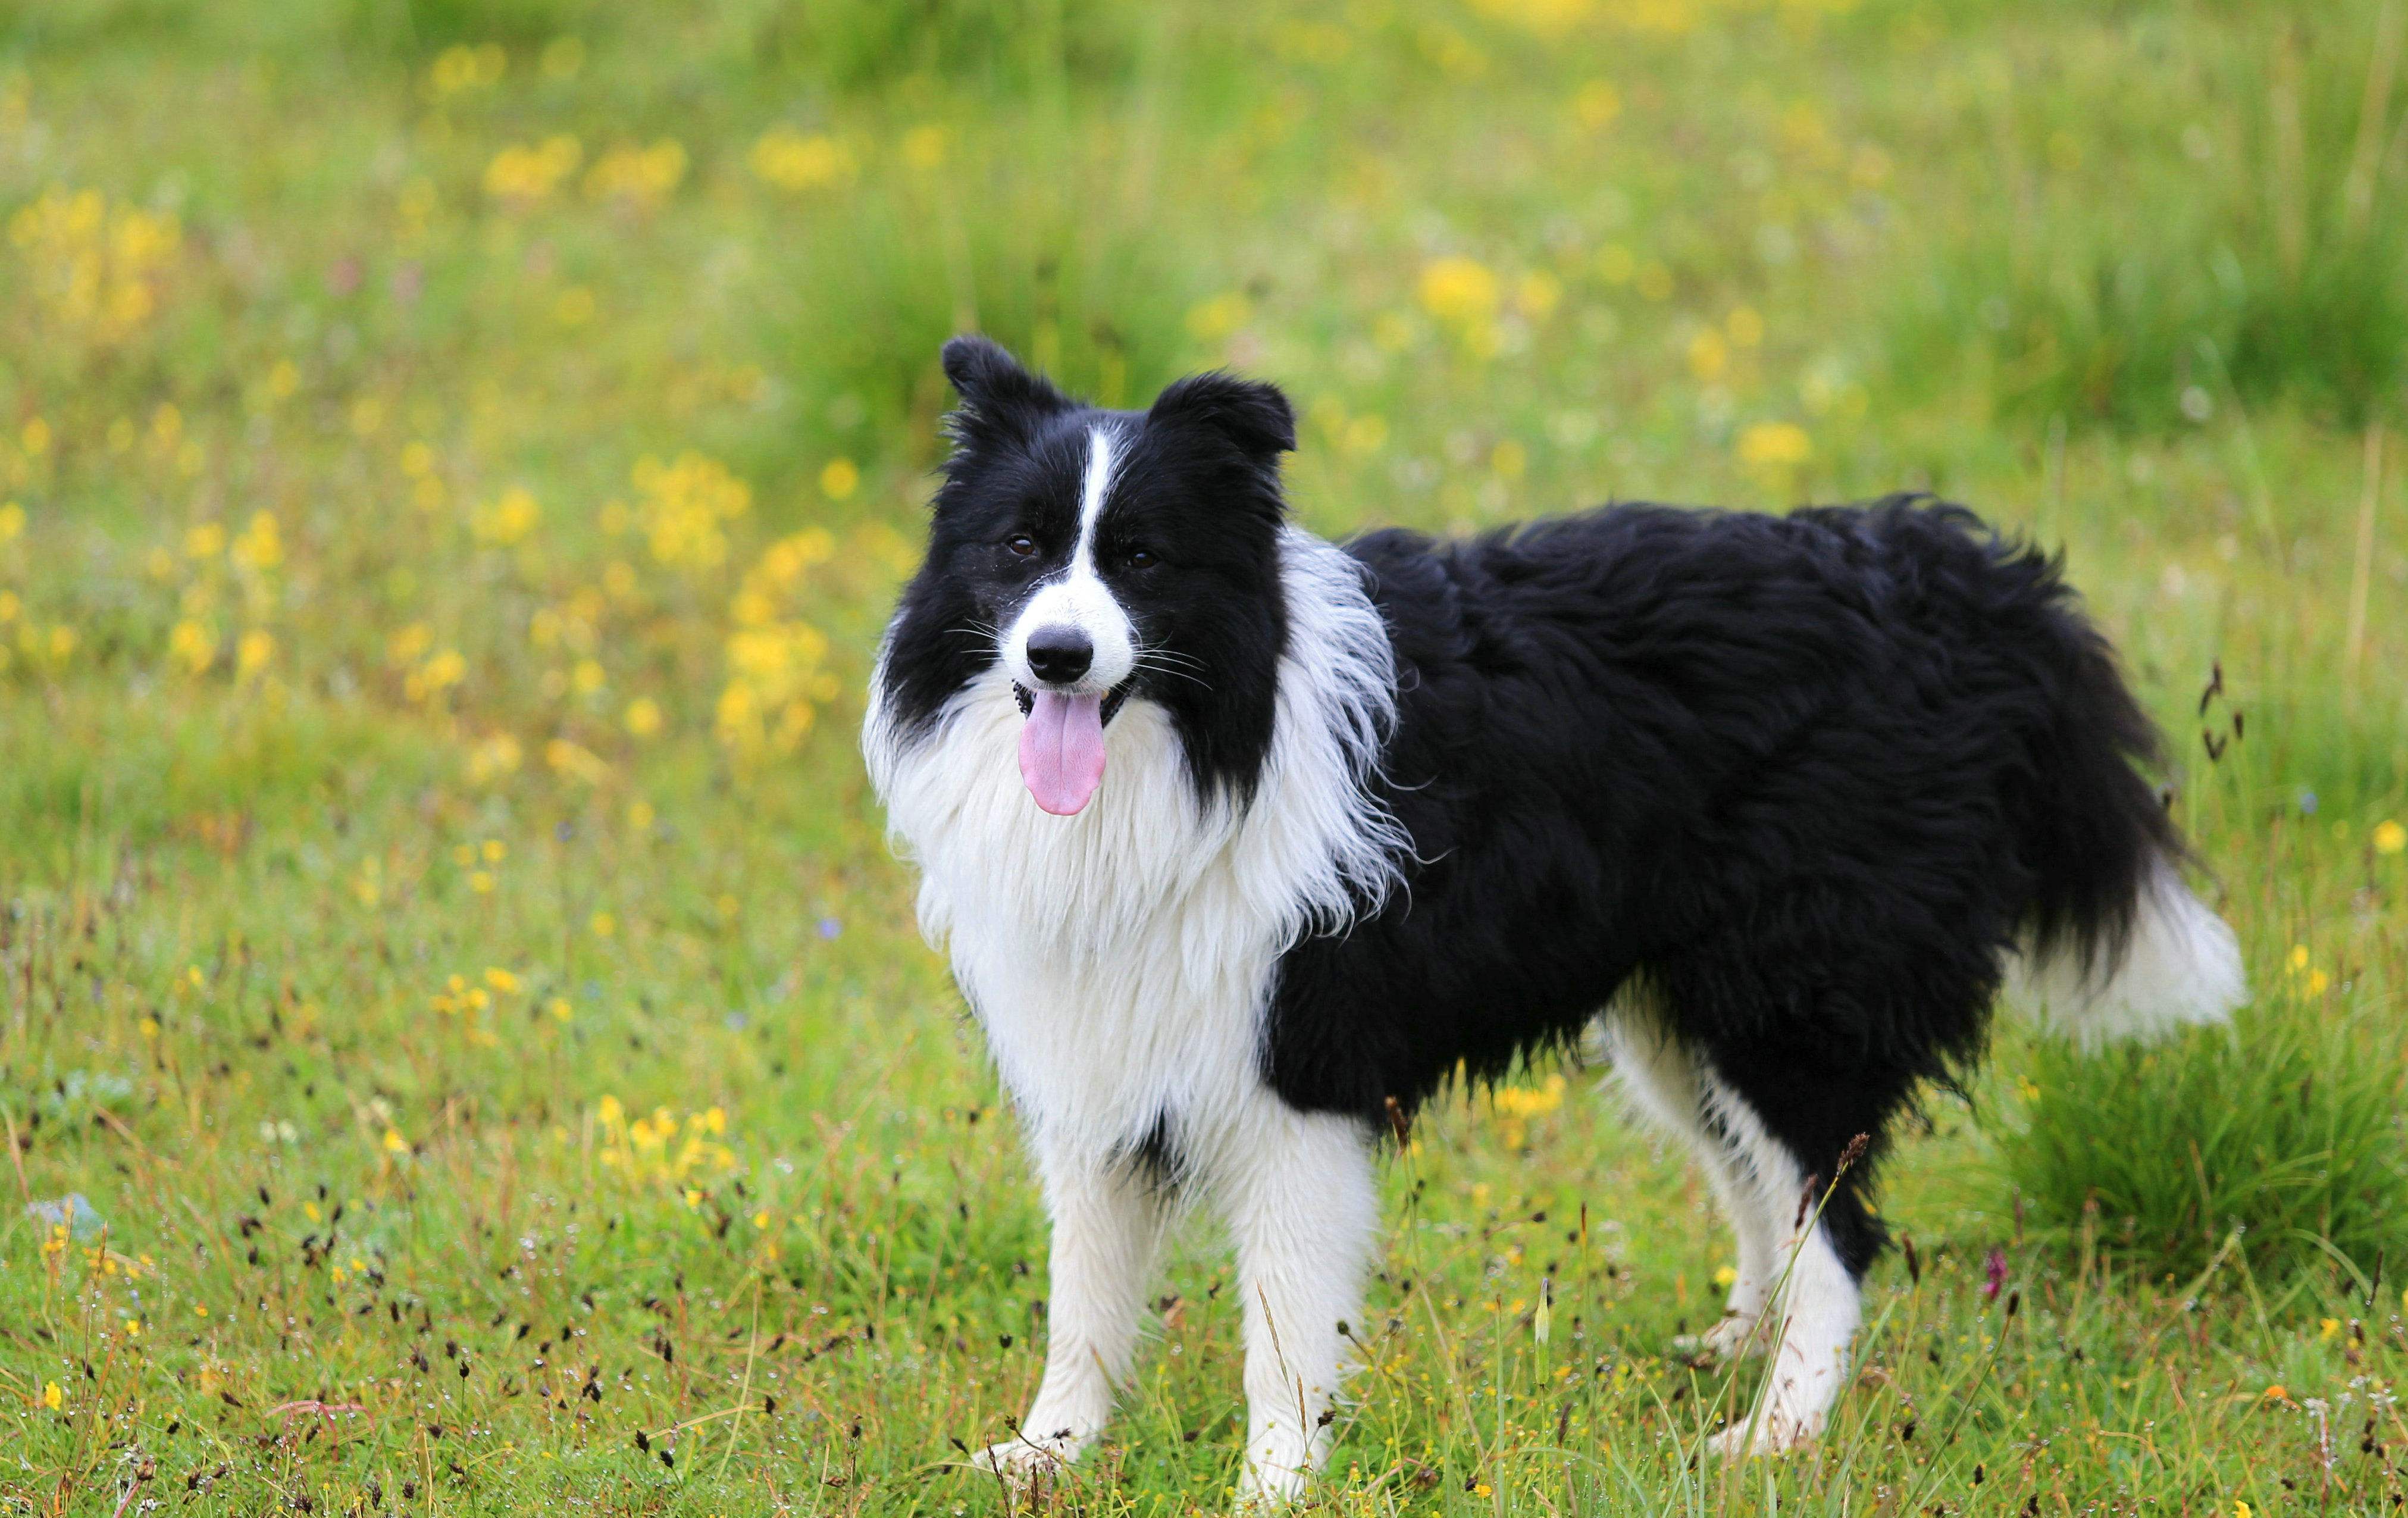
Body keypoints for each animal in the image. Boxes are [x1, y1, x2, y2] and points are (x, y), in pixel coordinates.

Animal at [862, 342, 2234, 1503]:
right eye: (1019, 546)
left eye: (1142, 558)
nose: (1056, 655)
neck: (1201, 746)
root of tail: (1952, 570)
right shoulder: (1095, 1057)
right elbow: (1083, 1301)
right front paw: (1043, 1456)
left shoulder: (1295, 1077)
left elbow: (1284, 1326)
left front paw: (1272, 1486)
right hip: (1679, 1015)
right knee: (1763, 1196)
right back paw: (1733, 1346)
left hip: (1788, 999)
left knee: (1837, 1232)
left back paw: (1773, 1435)